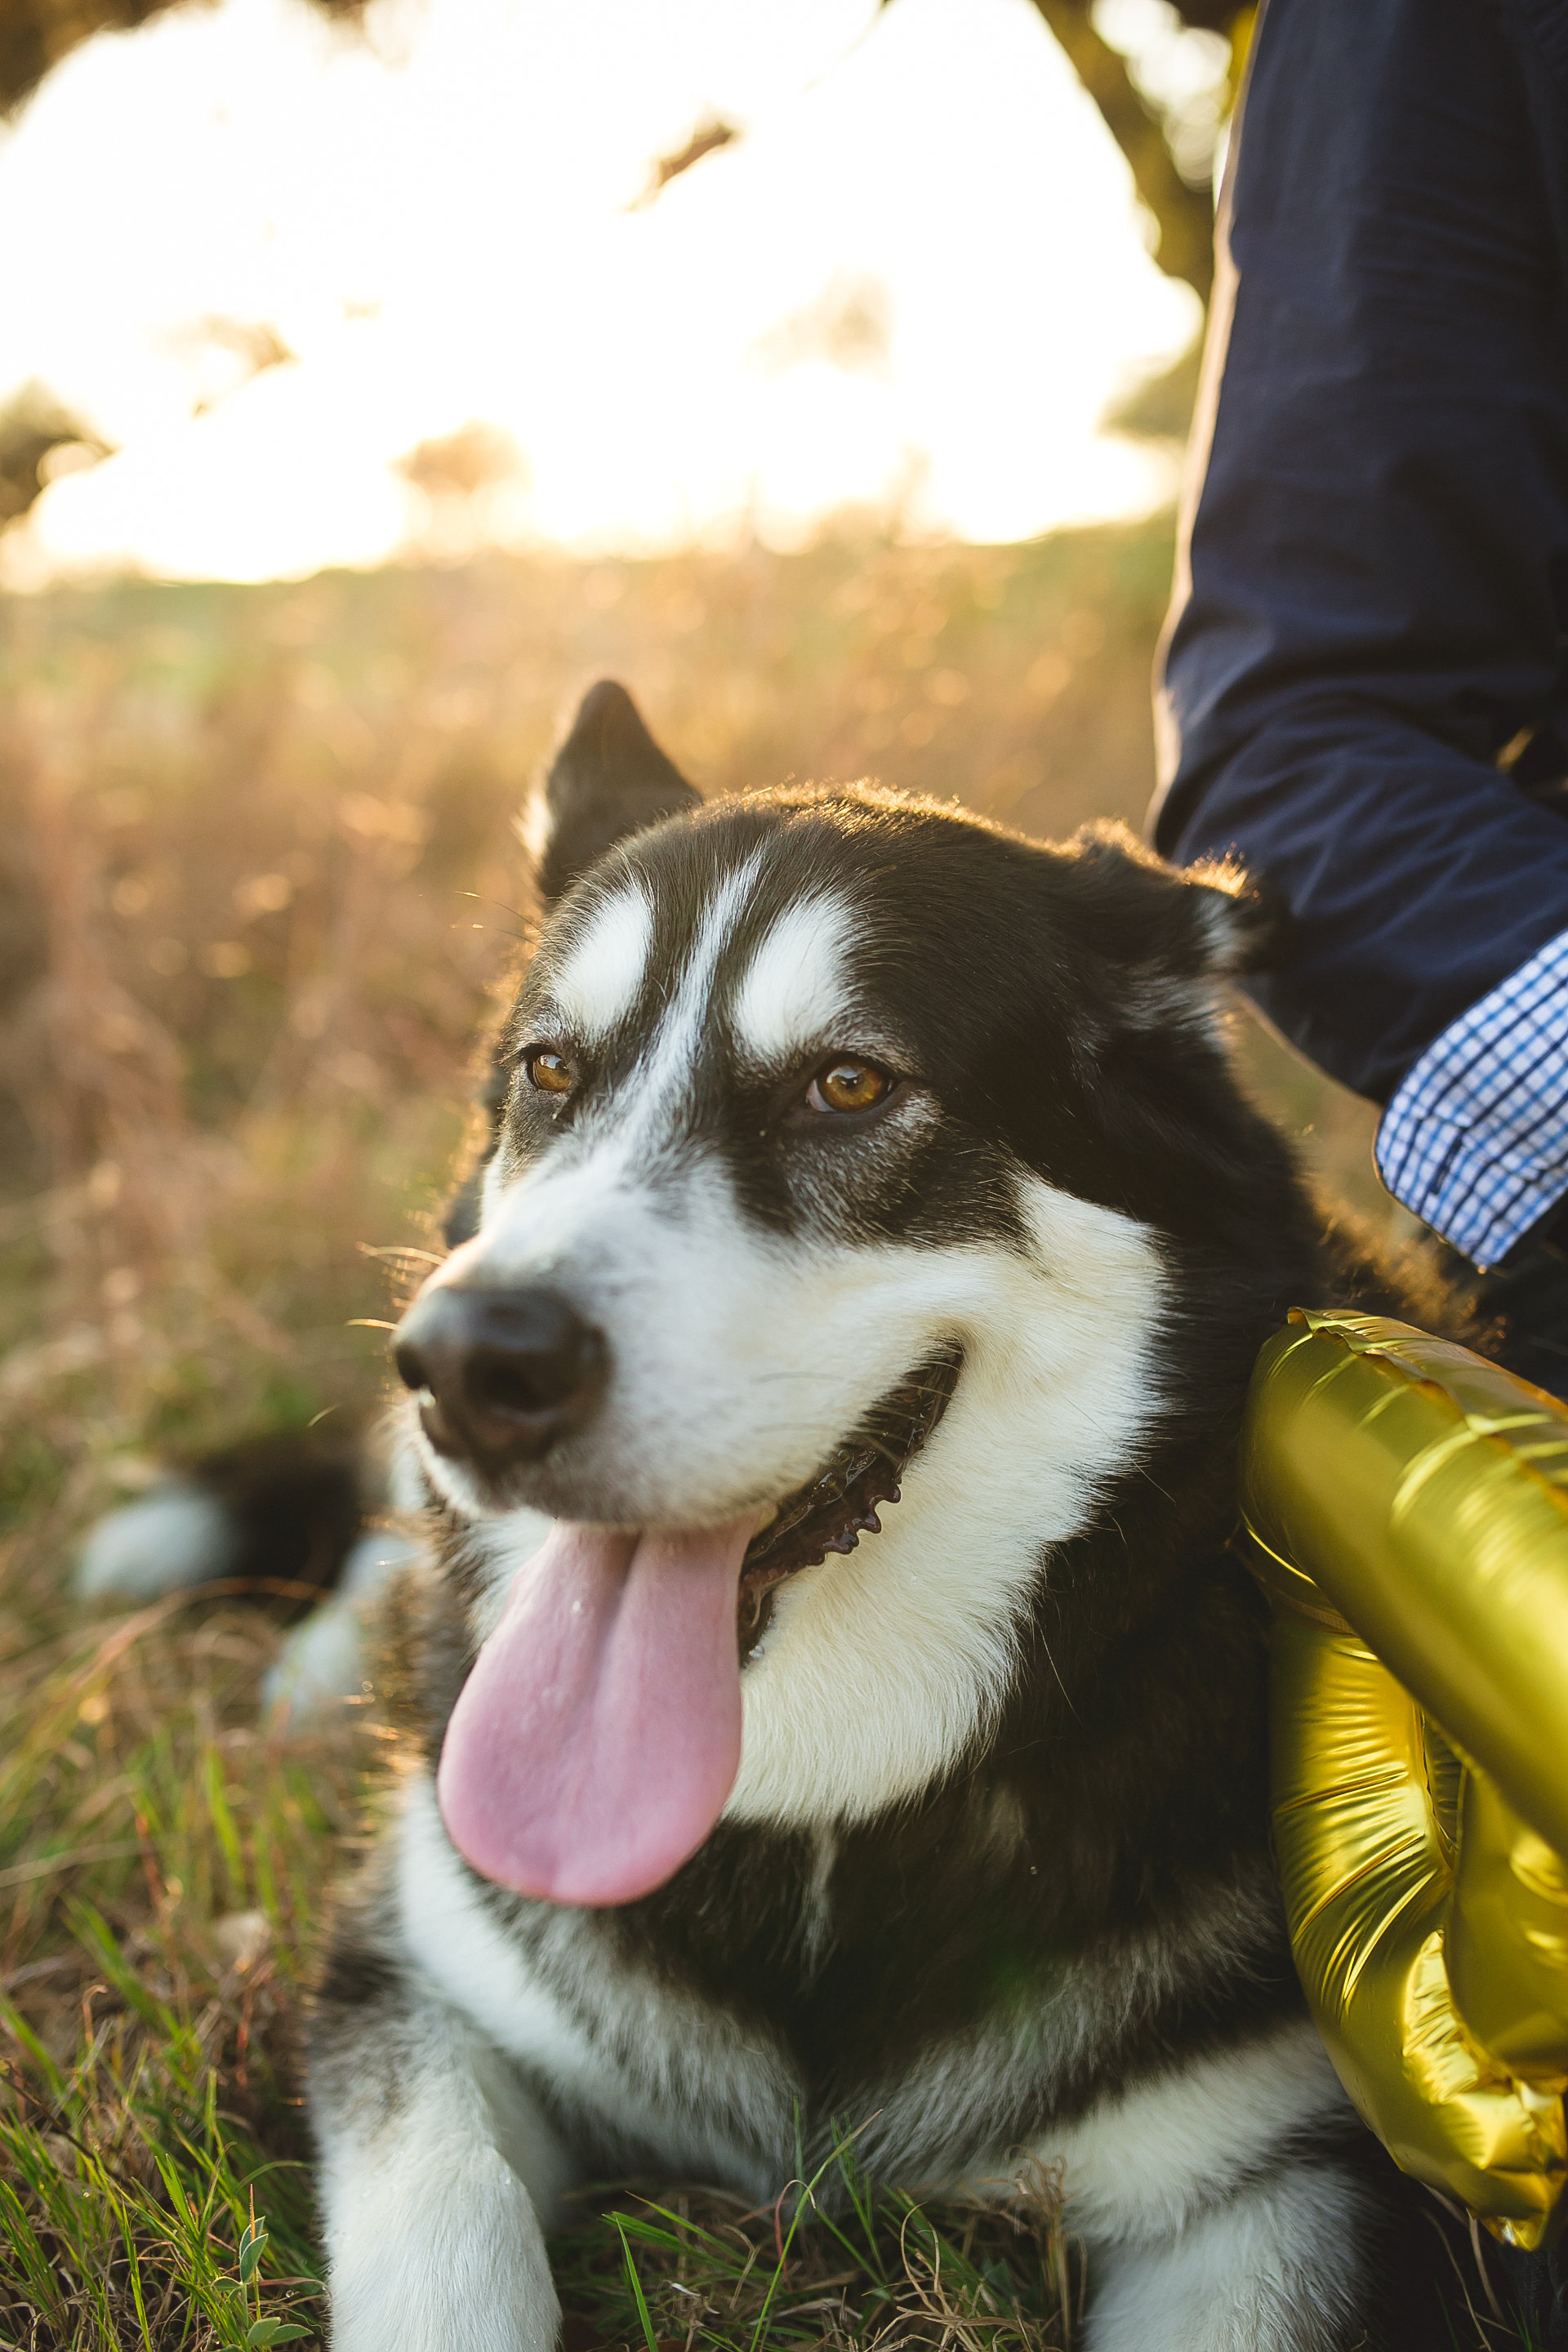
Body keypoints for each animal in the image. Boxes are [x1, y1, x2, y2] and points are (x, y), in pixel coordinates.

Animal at [291, 682, 1486, 2352]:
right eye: (550, 1073)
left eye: (849, 1086)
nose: (468, 1367)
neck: (821, 1824)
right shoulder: (424, 1997)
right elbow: (445, 2241)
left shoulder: (1271, 2178)